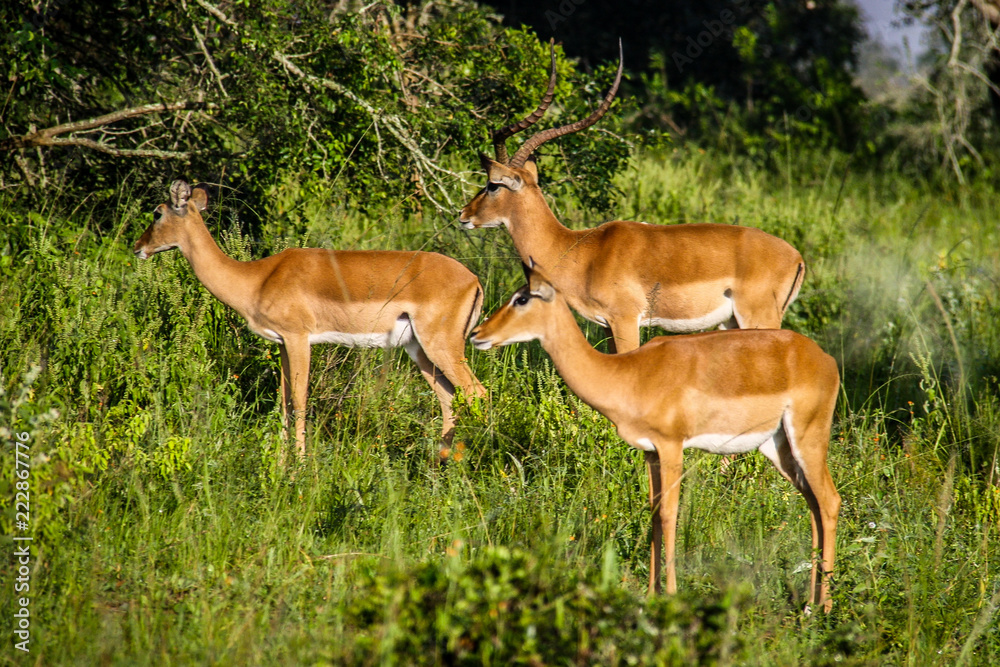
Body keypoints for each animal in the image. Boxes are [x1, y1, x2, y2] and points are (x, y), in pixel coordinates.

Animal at [134, 180, 488, 456]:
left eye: (157, 212)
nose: (138, 246)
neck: (257, 279)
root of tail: (473, 279)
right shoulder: (281, 344)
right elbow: (284, 403)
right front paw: (280, 465)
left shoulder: (298, 338)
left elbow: (300, 401)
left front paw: (299, 470)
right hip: (419, 350)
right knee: (449, 399)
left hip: (441, 347)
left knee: (477, 393)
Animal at [460, 40, 804, 354]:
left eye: (492, 184)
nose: (463, 215)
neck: (578, 250)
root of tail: (796, 257)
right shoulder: (607, 326)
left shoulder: (624, 321)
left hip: (757, 318)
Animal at [470, 260, 844, 612]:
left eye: (522, 298)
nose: (477, 333)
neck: (628, 376)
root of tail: (825, 359)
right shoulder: (649, 452)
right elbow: (652, 513)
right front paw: (650, 596)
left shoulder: (671, 446)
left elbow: (669, 514)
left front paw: (673, 597)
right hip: (778, 447)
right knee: (813, 503)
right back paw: (810, 601)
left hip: (807, 438)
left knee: (829, 500)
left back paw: (822, 607)